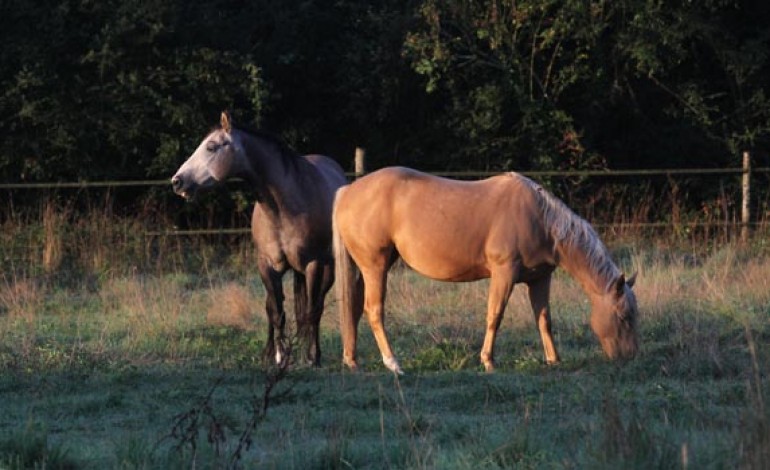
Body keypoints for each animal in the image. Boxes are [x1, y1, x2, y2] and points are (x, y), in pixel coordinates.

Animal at [172, 112, 346, 366]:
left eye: (211, 147)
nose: (177, 181)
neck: (285, 206)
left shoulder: (314, 264)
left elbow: (312, 310)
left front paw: (312, 356)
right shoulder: (266, 265)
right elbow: (276, 312)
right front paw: (278, 356)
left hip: (326, 268)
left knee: (315, 306)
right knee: (273, 306)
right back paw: (269, 351)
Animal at [332, 167, 640, 372]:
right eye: (623, 316)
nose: (629, 357)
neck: (540, 218)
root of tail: (347, 191)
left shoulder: (540, 279)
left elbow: (544, 320)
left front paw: (553, 359)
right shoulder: (504, 274)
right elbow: (495, 316)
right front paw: (488, 361)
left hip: (365, 270)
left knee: (354, 308)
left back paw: (352, 360)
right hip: (375, 267)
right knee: (374, 310)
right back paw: (393, 363)